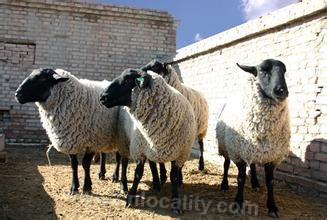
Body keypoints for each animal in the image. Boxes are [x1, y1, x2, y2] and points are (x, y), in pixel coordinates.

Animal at [100, 68, 197, 214]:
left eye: (128, 79)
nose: (102, 97)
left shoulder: (180, 154)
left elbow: (174, 177)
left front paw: (175, 204)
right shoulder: (139, 149)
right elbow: (137, 174)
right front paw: (130, 197)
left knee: (152, 163)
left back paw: (157, 182)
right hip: (125, 140)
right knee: (124, 162)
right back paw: (124, 184)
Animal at [217, 58, 290, 218]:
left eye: (284, 71)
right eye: (262, 71)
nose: (282, 91)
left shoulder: (273, 157)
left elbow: (270, 182)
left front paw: (272, 207)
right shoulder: (238, 154)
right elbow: (240, 178)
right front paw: (238, 203)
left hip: (252, 149)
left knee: (253, 165)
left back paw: (256, 183)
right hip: (226, 146)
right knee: (226, 164)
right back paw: (224, 184)